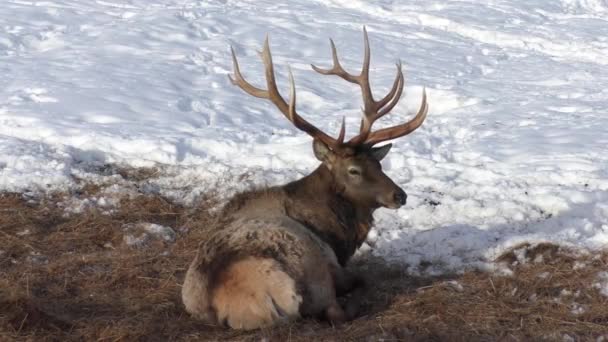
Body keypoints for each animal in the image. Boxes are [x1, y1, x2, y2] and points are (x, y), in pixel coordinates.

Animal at [180, 28, 428, 330]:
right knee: (336, 310)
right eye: (353, 170)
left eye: (378, 163)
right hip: (312, 269)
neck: (338, 233)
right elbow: (360, 279)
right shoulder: (331, 259)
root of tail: (226, 302)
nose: (400, 195)